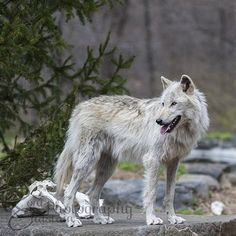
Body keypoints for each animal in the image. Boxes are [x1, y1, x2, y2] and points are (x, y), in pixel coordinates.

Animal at [54, 75, 209, 227]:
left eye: (174, 103)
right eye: (163, 104)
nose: (158, 121)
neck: (180, 132)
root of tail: (80, 107)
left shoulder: (173, 163)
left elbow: (170, 195)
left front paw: (172, 218)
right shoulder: (152, 160)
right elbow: (151, 194)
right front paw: (152, 219)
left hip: (107, 168)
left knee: (92, 193)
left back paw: (100, 219)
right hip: (87, 164)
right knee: (69, 192)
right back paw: (71, 220)